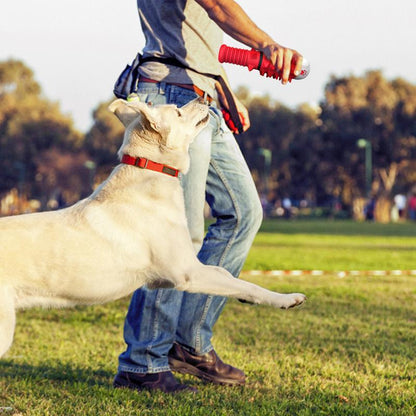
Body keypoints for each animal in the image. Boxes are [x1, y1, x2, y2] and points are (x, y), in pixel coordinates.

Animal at [0, 98, 306, 358]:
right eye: (178, 112)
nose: (204, 96)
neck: (151, 170)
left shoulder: (179, 272)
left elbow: (229, 276)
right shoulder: (188, 273)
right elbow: (247, 284)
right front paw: (286, 299)